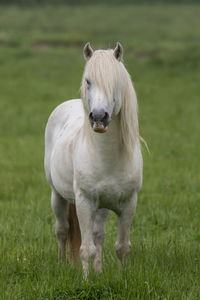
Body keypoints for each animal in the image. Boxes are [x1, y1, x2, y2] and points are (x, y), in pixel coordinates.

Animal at [44, 42, 143, 276]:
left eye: (115, 82)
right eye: (88, 81)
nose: (98, 117)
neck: (107, 158)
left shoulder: (128, 204)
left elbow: (121, 247)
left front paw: (119, 277)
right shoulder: (84, 202)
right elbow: (85, 249)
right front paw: (86, 279)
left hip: (103, 206)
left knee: (98, 235)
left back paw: (99, 271)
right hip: (57, 196)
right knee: (62, 230)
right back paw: (62, 264)